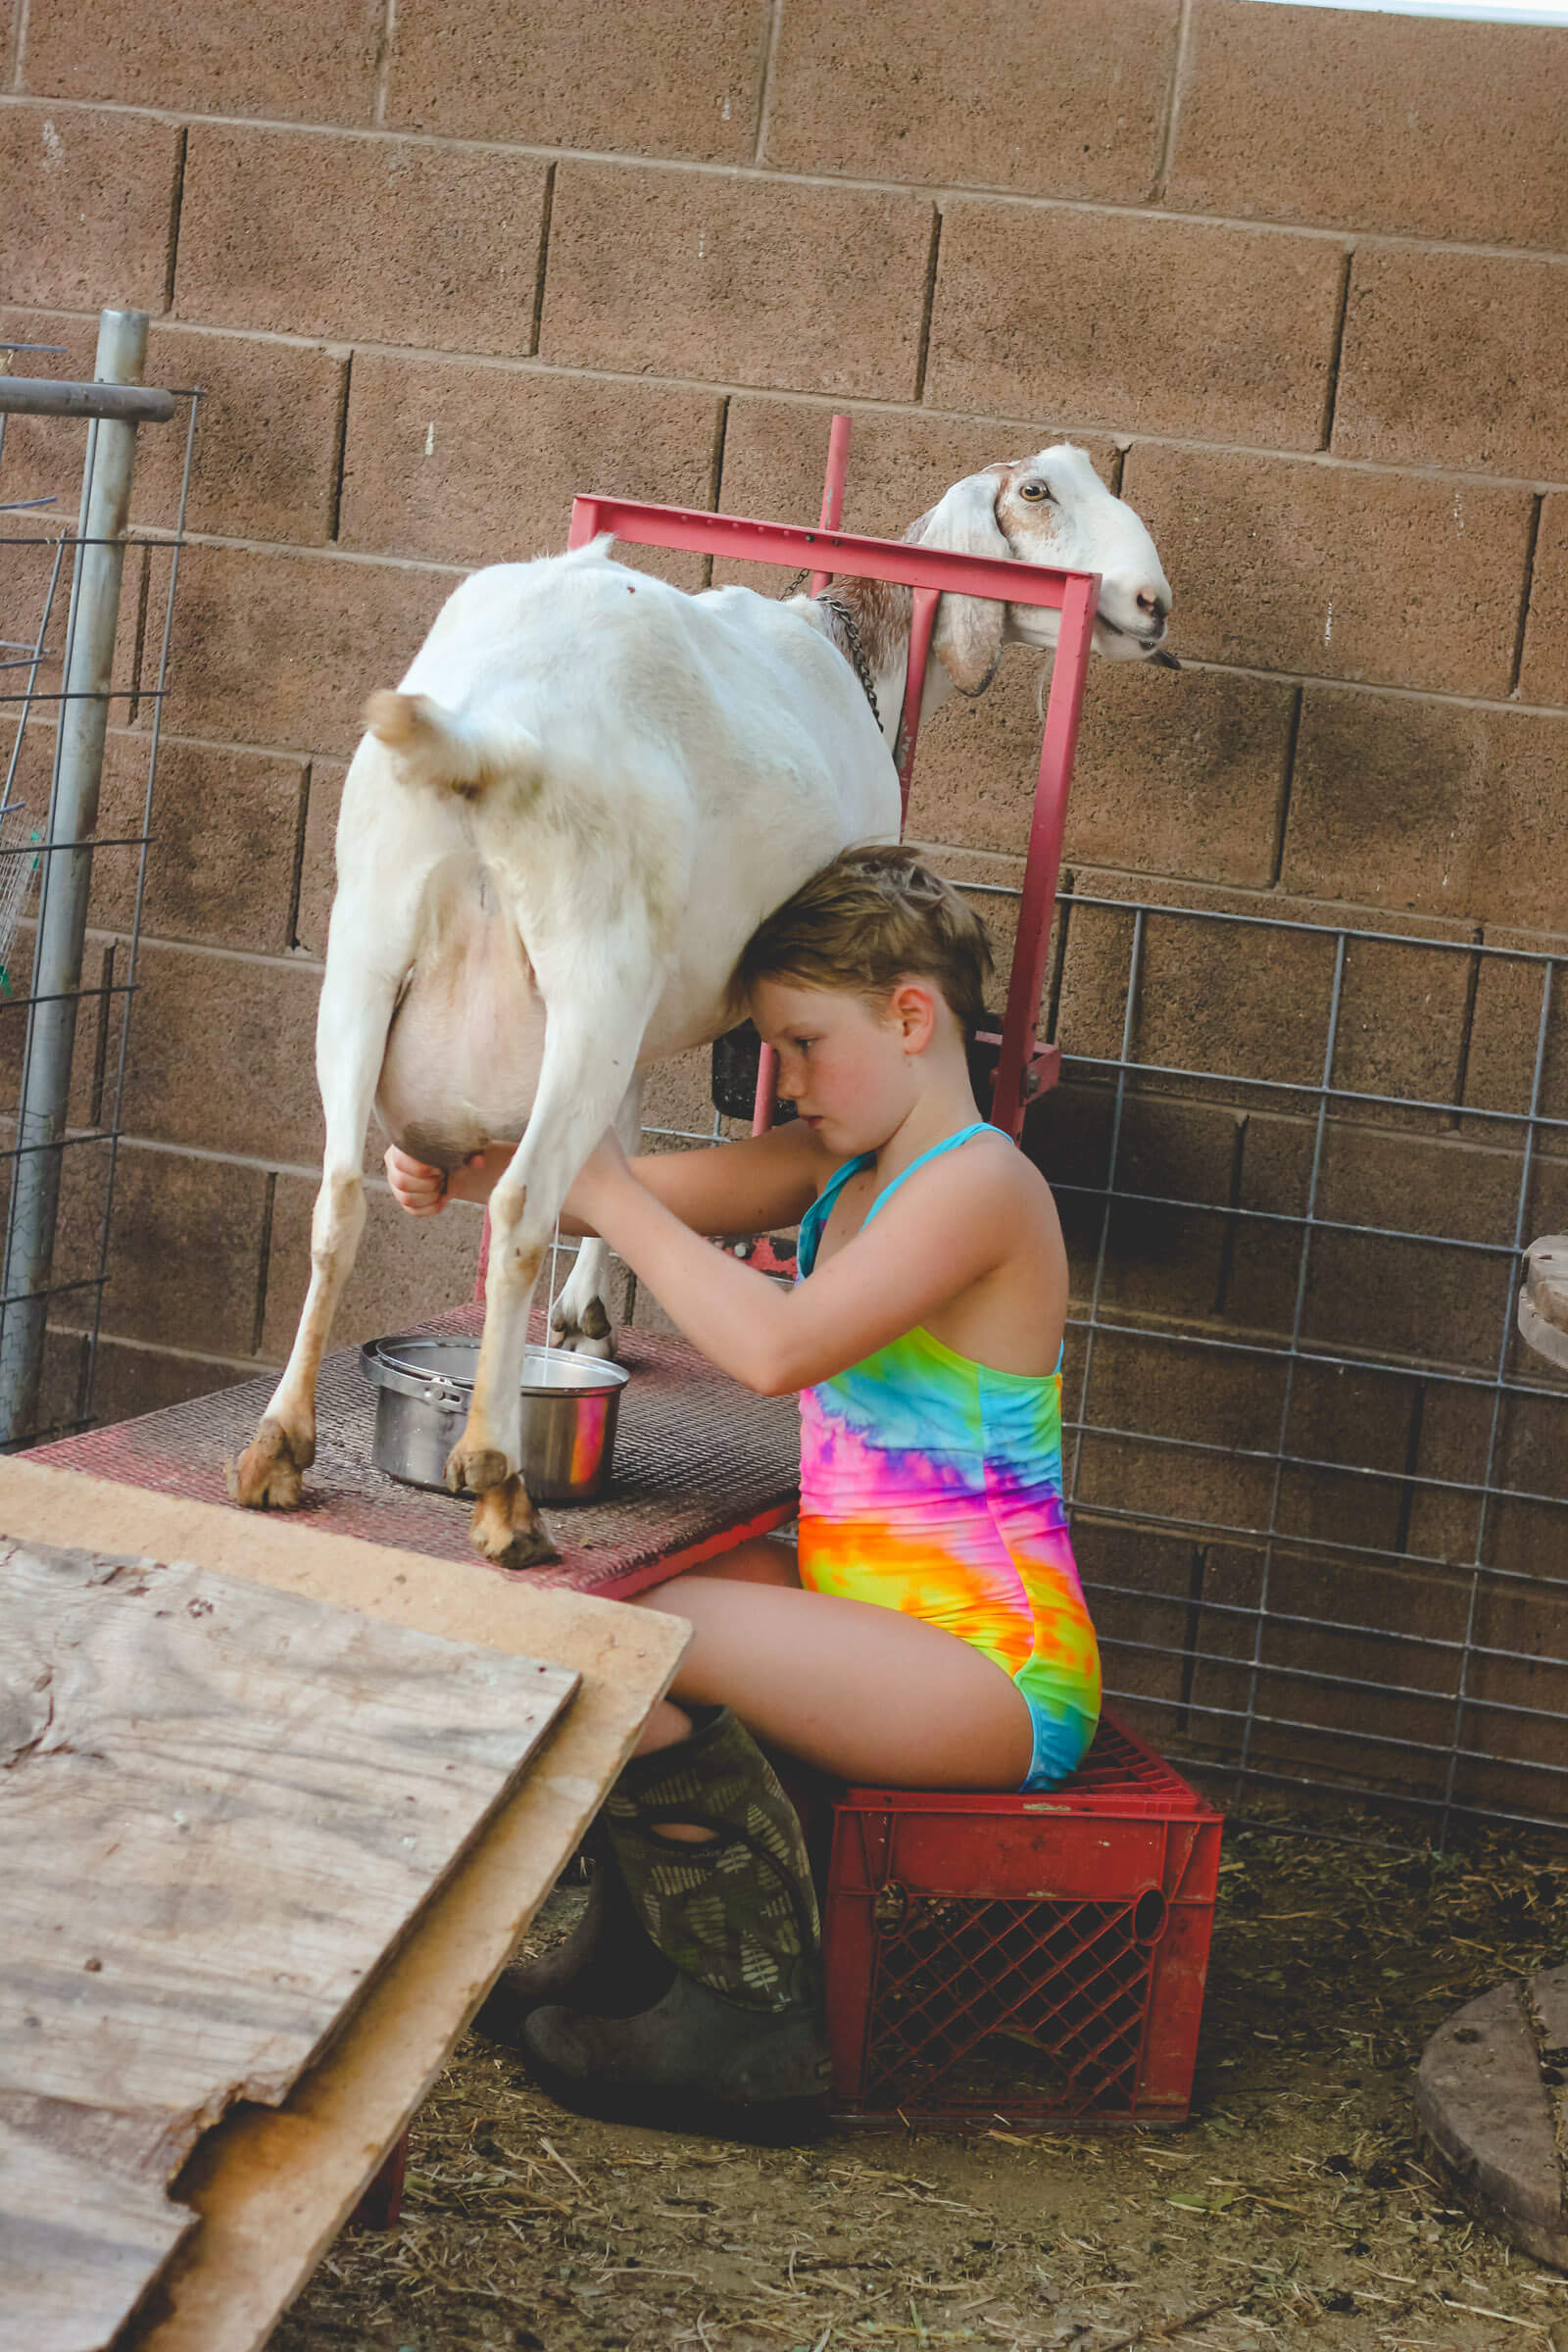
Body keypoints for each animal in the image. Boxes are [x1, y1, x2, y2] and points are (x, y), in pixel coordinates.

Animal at [226, 449, 1170, 1571]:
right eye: (1037, 493)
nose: (1151, 606)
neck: (857, 655)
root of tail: (493, 730)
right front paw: (584, 1323)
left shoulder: (640, 997)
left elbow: (628, 1140)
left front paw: (585, 1321)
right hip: (593, 960)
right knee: (518, 1208)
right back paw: (500, 1486)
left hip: (372, 948)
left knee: (337, 1196)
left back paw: (276, 1450)